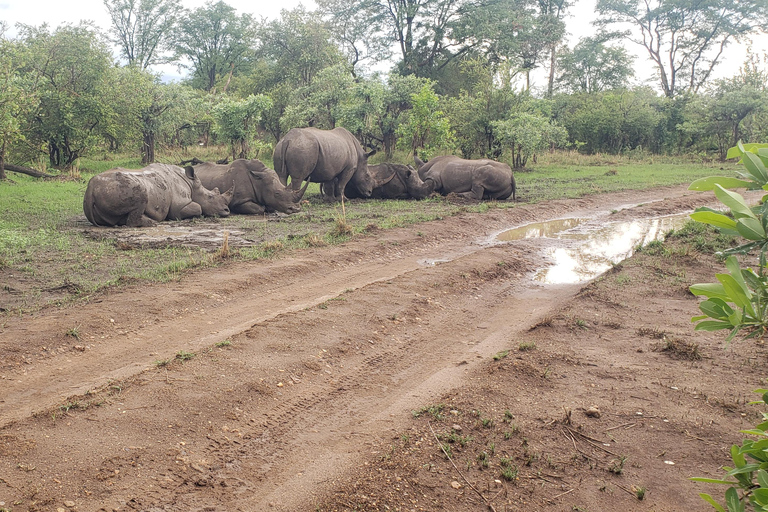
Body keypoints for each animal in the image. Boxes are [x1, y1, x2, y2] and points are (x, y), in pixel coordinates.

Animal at [83, 163, 233, 227]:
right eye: (210, 197)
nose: (227, 211)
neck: (192, 184)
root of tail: (90, 190)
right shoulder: (180, 205)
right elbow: (199, 207)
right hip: (120, 187)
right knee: (141, 193)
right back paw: (153, 223)